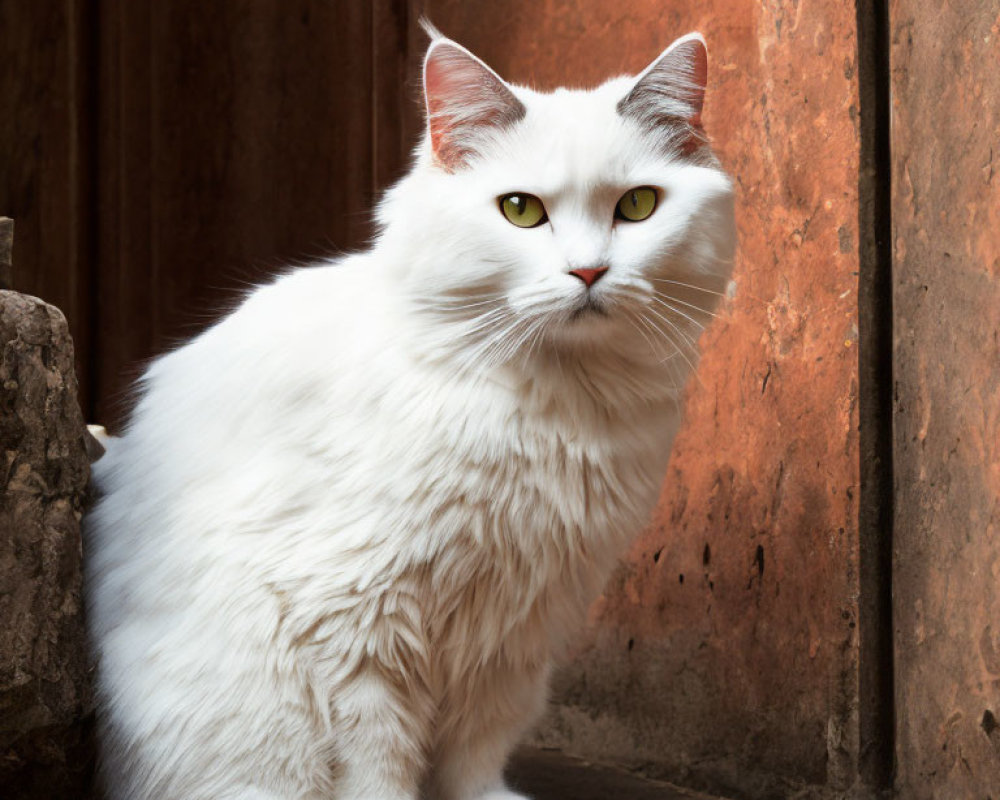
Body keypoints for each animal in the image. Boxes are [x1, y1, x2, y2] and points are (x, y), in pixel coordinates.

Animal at [84, 25, 736, 800]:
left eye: (637, 206)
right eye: (521, 210)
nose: (587, 272)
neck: (553, 406)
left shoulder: (518, 625)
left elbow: (476, 752)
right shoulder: (356, 620)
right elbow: (380, 765)